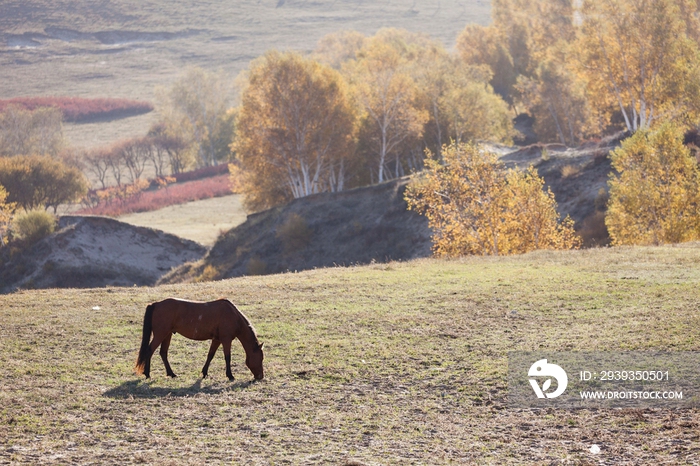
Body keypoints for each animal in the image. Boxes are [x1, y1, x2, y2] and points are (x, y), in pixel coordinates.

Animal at [135, 298, 264, 382]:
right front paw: (230, 375)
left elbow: (210, 355)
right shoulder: (226, 340)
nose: (261, 376)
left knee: (163, 353)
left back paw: (171, 374)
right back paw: (147, 374)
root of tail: (155, 304)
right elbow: (227, 357)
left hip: (167, 334)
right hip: (160, 334)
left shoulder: (216, 340)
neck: (233, 316)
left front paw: (204, 372)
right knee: (149, 351)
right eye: (261, 358)